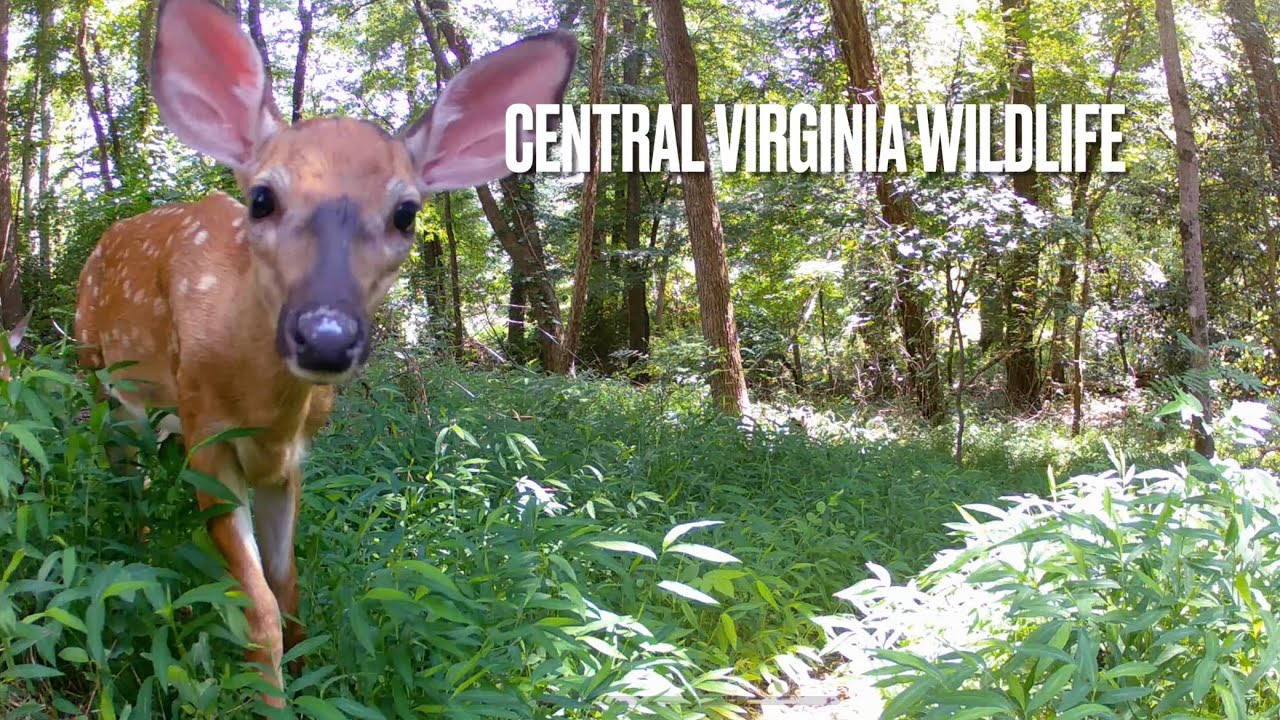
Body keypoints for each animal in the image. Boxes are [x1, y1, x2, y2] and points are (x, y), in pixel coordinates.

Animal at [73, 0, 576, 707]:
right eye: (261, 198)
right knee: (125, 471)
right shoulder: (207, 435)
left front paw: (310, 668)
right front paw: (272, 700)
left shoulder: (291, 456)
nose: (326, 336)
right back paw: (134, 550)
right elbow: (255, 604)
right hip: (99, 373)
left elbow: (287, 584)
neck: (263, 409)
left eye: (406, 212)